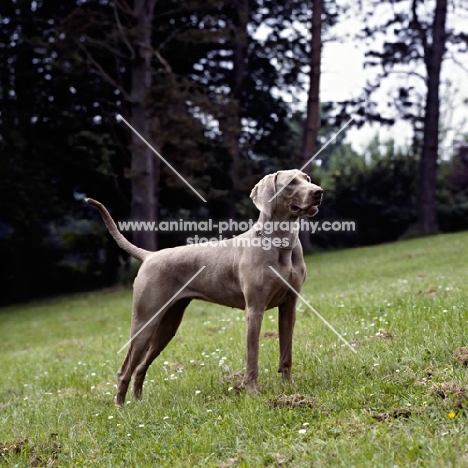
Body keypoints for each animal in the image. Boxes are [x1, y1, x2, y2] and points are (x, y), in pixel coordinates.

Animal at [86, 170, 324, 404]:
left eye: (307, 179)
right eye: (291, 183)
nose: (319, 192)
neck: (281, 243)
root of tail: (150, 255)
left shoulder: (289, 306)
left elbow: (286, 353)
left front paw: (290, 390)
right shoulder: (254, 310)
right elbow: (252, 357)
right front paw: (253, 393)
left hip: (168, 323)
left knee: (141, 366)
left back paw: (139, 402)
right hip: (145, 320)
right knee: (125, 368)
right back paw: (121, 407)